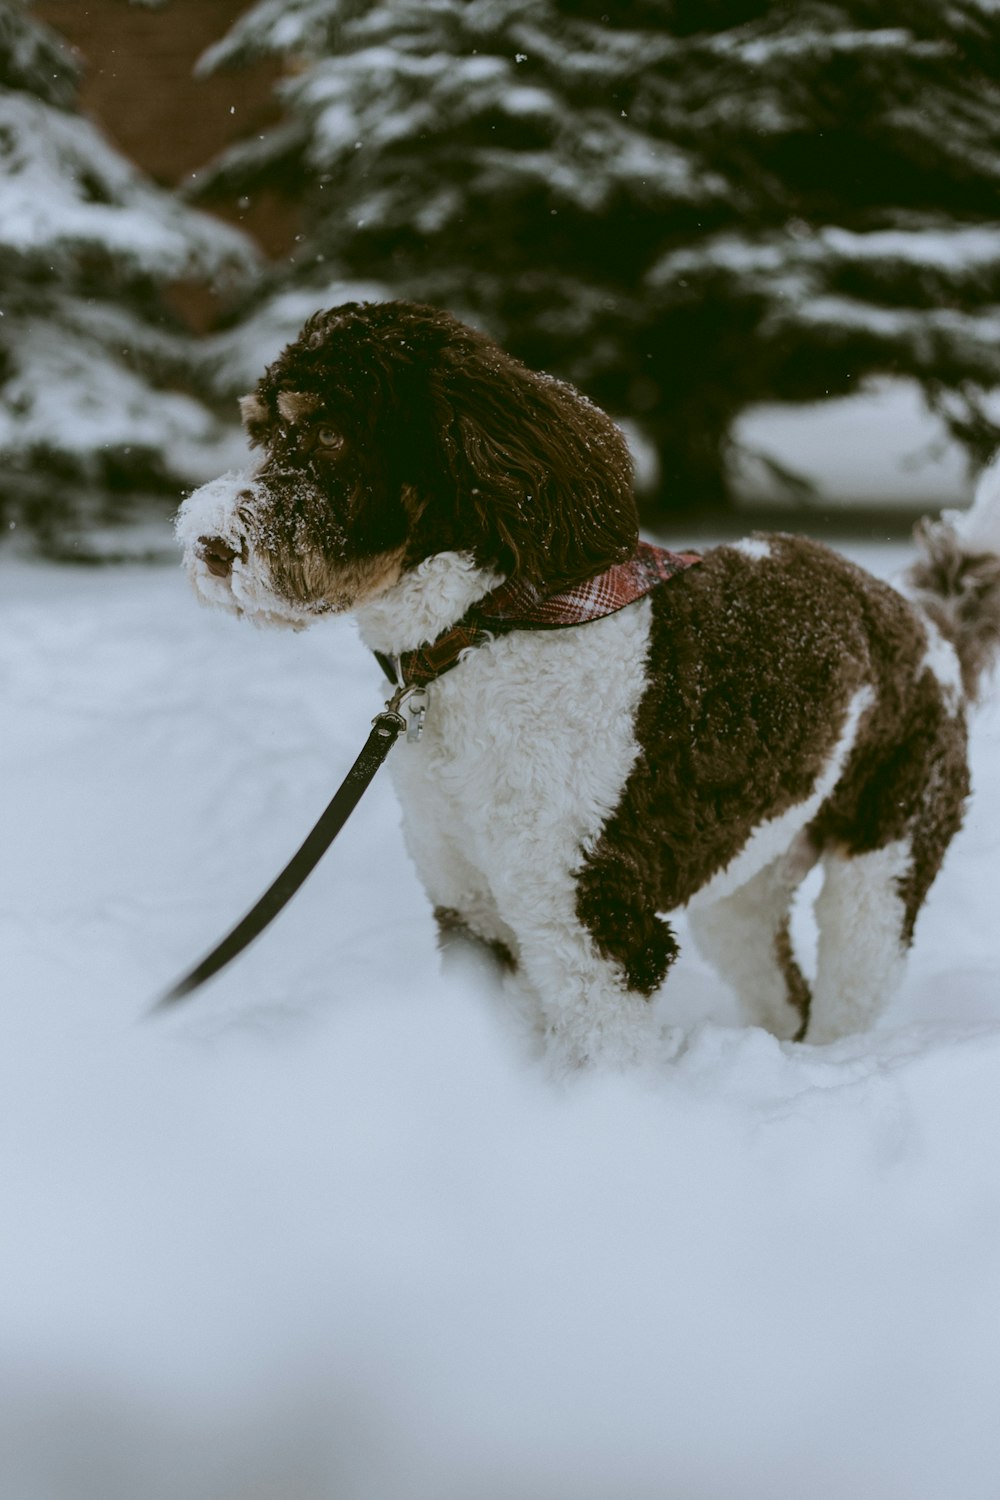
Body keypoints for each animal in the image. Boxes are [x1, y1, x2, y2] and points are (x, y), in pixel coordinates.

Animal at [176, 298, 1000, 1068]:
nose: (208, 544)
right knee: (778, 985)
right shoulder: (472, 908)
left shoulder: (589, 918)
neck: (484, 634)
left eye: (331, 436)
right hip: (748, 875)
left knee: (848, 986)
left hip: (883, 860)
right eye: (264, 434)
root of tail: (926, 621)